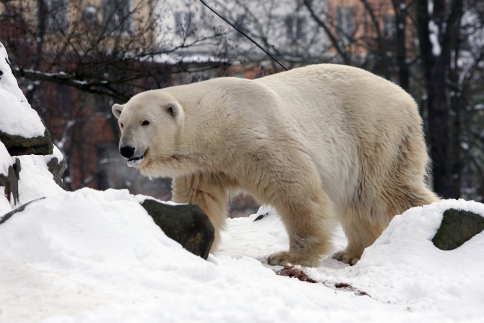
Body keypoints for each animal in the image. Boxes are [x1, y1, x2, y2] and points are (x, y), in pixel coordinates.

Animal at [112, 64, 438, 268]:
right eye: (122, 122)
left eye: (146, 121)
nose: (127, 150)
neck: (218, 123)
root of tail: (407, 99)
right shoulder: (205, 165)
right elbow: (200, 199)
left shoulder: (259, 137)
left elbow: (296, 189)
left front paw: (288, 257)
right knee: (357, 202)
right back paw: (350, 253)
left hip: (375, 135)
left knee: (387, 190)